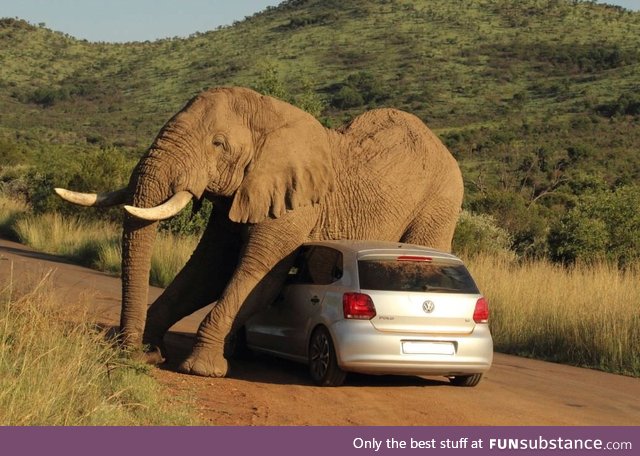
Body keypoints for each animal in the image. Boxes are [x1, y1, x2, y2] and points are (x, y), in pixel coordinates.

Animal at [55, 85, 462, 378]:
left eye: (218, 144)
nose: (127, 356)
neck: (268, 113)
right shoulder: (240, 193)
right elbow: (208, 271)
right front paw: (152, 352)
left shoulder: (295, 205)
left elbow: (259, 278)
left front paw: (201, 369)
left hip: (439, 203)